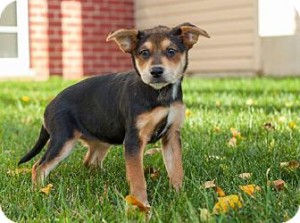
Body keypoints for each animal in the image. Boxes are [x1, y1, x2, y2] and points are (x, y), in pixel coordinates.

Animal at [18, 22, 210, 206]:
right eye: (144, 53)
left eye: (171, 51)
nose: (156, 72)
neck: (159, 93)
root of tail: (48, 107)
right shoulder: (133, 139)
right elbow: (137, 177)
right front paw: (141, 205)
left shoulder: (172, 134)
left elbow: (176, 168)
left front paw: (180, 196)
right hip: (63, 140)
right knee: (39, 167)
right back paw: (38, 192)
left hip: (100, 141)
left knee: (89, 162)